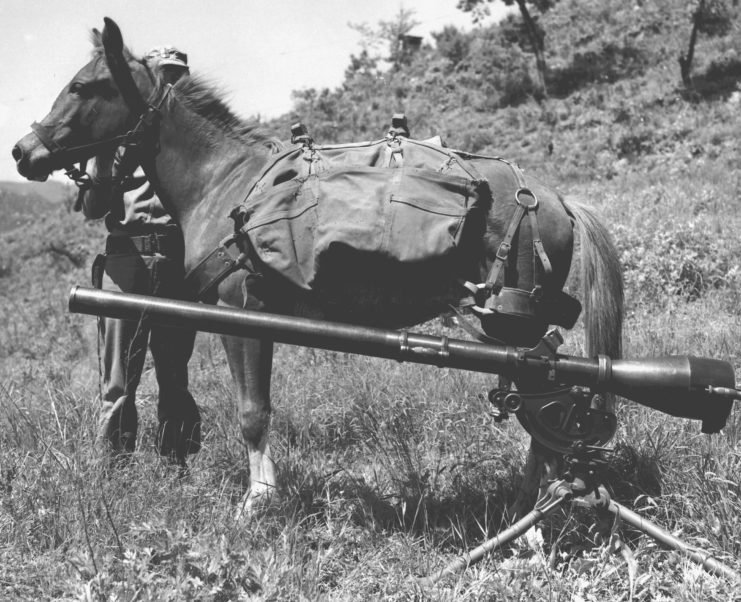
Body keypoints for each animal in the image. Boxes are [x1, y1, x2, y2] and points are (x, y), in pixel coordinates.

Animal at [14, 19, 620, 516]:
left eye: (84, 87)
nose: (23, 151)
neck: (223, 181)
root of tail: (554, 199)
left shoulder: (243, 314)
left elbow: (252, 411)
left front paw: (259, 502)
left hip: (514, 328)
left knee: (545, 414)